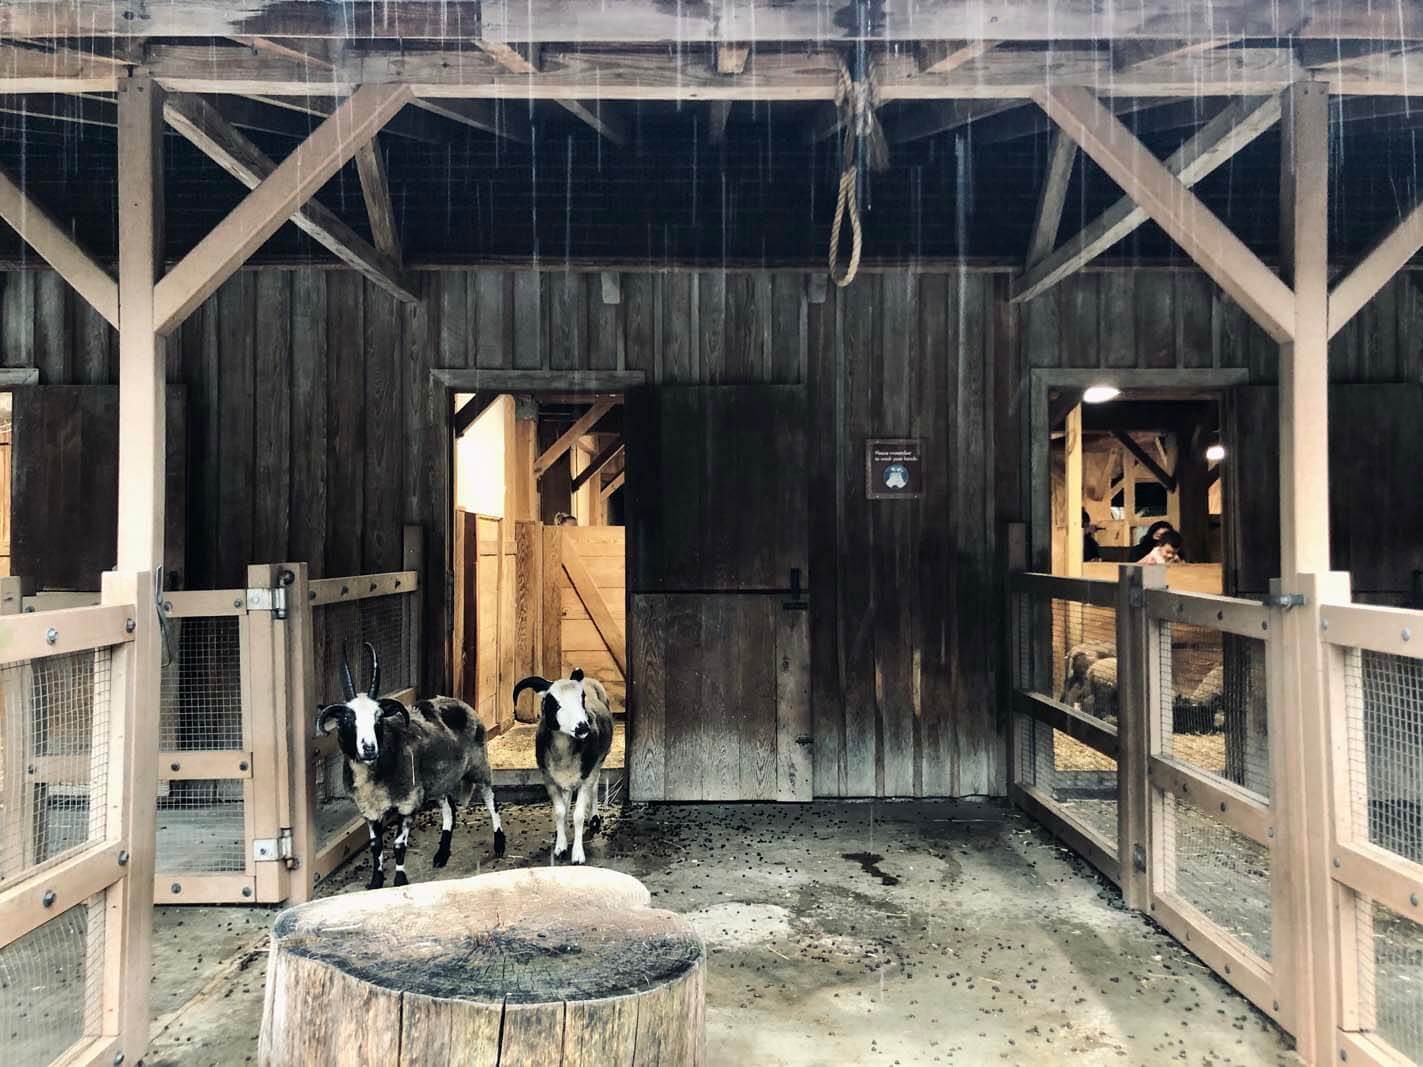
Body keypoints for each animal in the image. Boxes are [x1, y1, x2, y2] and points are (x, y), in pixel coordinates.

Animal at [321, 643, 506, 893]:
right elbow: (376, 846)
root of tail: (459, 702)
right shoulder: (369, 808)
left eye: (379, 718)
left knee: (490, 799)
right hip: (439, 778)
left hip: (479, 763)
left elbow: (399, 845)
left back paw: (499, 844)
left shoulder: (409, 801)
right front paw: (375, 882)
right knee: (449, 809)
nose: (369, 748)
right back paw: (441, 854)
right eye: (347, 720)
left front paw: (400, 881)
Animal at [517, 668, 617, 870]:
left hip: (598, 761)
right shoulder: (548, 779)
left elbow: (578, 815)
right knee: (567, 795)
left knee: (595, 786)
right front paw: (560, 846)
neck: (564, 748)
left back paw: (594, 818)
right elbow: (560, 811)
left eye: (582, 698)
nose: (582, 727)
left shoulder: (587, 774)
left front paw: (577, 854)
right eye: (555, 703)